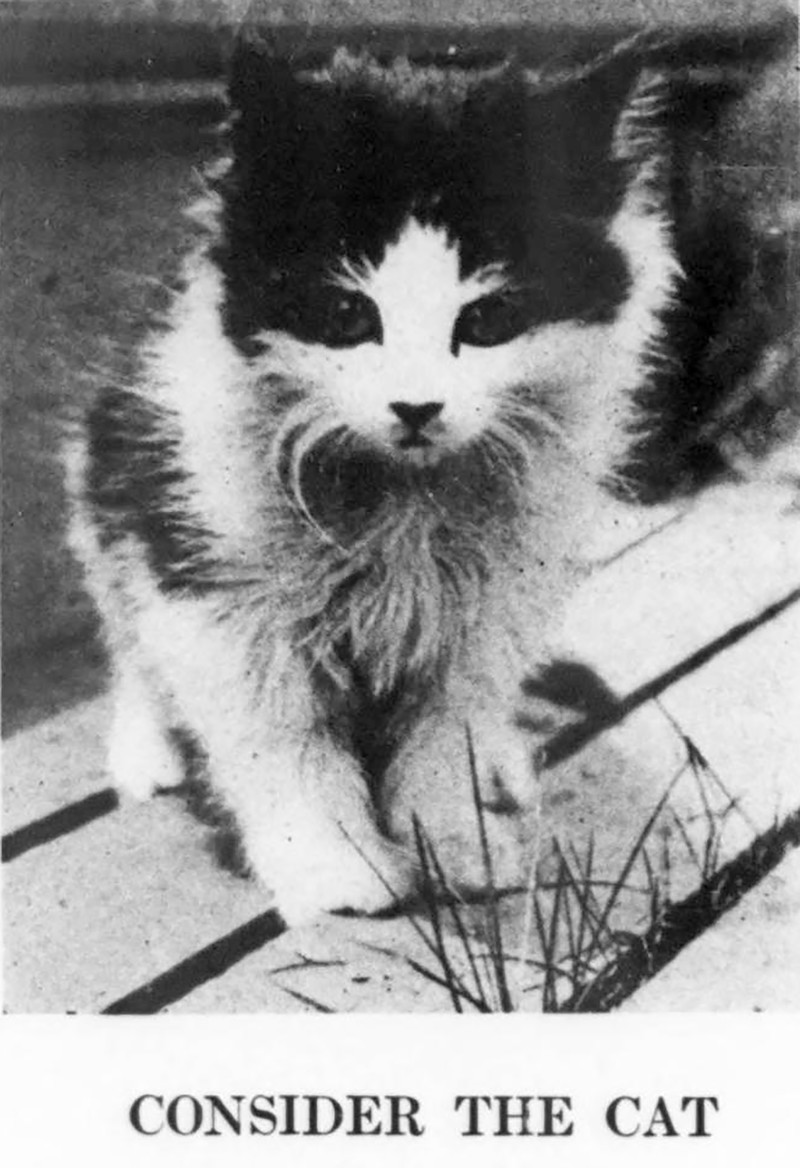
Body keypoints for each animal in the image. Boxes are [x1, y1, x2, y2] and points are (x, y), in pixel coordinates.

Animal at [68, 34, 682, 925]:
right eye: (349, 316)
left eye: (486, 321)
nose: (416, 406)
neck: (399, 498)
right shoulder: (217, 596)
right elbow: (282, 741)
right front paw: (332, 865)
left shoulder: (485, 610)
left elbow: (445, 735)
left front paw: (451, 840)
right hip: (105, 487)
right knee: (130, 649)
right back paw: (146, 751)